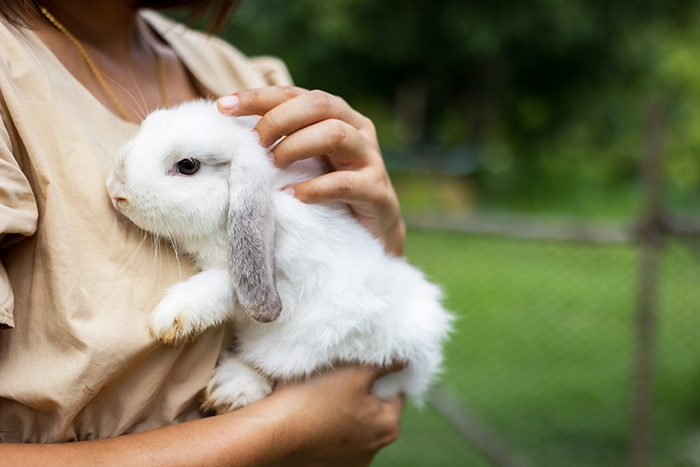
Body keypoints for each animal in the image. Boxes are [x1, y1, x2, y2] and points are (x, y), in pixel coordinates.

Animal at [106, 99, 452, 414]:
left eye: (188, 166)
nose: (115, 189)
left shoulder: (286, 278)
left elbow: (227, 282)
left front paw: (171, 316)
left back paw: (234, 388)